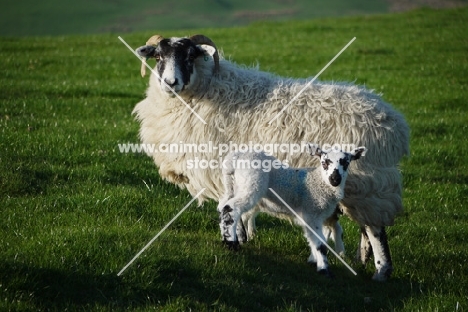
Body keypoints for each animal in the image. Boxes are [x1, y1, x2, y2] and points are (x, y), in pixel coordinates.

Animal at [218, 145, 368, 276]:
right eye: (324, 162)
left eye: (346, 163)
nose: (335, 179)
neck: (318, 182)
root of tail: (235, 157)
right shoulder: (311, 213)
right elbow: (320, 243)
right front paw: (324, 269)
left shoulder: (315, 216)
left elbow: (315, 238)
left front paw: (314, 260)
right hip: (251, 183)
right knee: (231, 207)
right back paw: (230, 243)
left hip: (237, 185)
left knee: (225, 207)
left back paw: (236, 237)